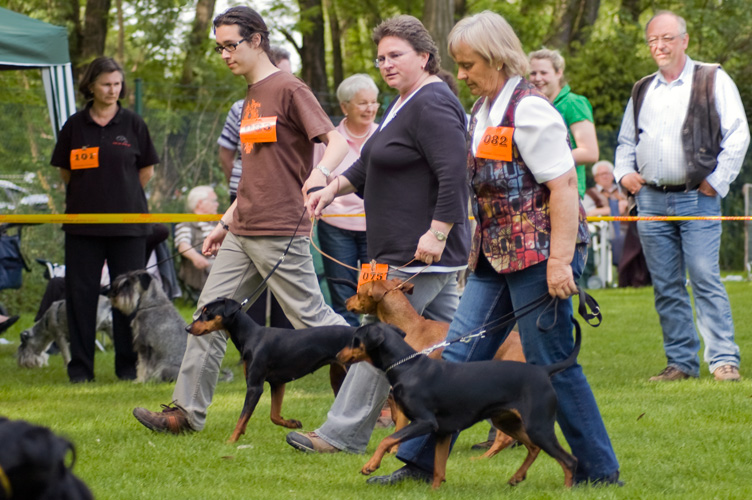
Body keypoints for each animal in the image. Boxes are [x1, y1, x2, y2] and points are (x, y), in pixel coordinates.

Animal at [187, 296, 358, 442]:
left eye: (207, 312)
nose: (187, 328)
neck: (250, 335)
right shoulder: (277, 383)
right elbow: (274, 416)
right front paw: (292, 423)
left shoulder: (255, 387)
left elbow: (242, 417)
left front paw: (231, 441)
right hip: (337, 378)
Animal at [336, 320, 580, 488]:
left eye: (354, 339)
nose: (337, 354)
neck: (408, 367)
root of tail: (543, 371)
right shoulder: (443, 432)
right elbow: (438, 469)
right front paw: (434, 491)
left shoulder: (425, 422)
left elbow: (387, 440)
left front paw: (370, 465)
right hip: (508, 422)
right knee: (534, 448)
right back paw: (517, 477)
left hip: (538, 427)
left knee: (569, 460)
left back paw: (566, 489)